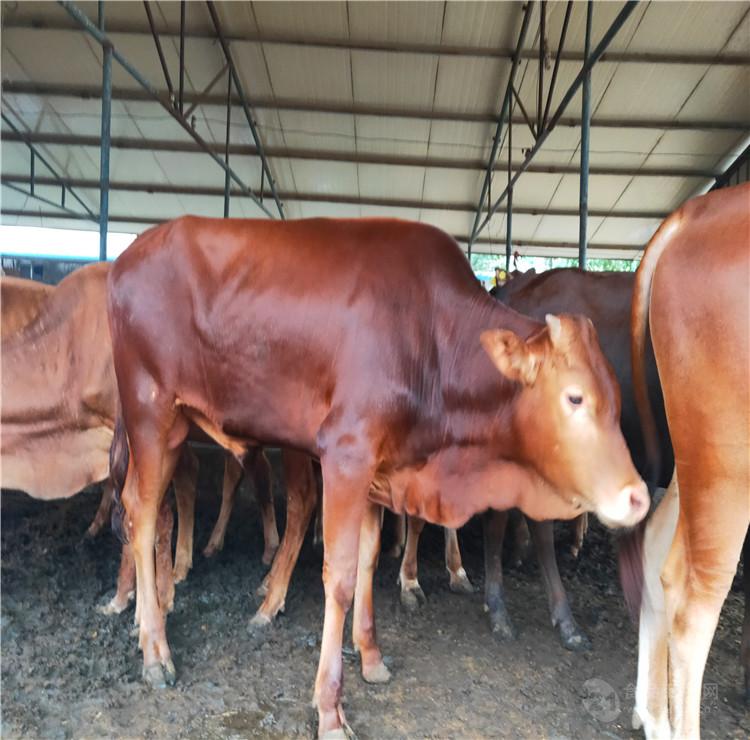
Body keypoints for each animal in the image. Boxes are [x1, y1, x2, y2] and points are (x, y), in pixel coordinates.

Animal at [107, 215, 652, 736]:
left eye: (617, 396)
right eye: (575, 397)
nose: (637, 497)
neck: (431, 337)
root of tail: (130, 255)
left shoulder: (381, 468)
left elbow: (369, 557)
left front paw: (369, 655)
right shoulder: (346, 454)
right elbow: (341, 575)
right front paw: (329, 707)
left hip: (172, 428)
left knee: (143, 509)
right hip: (150, 414)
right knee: (143, 512)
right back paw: (155, 651)